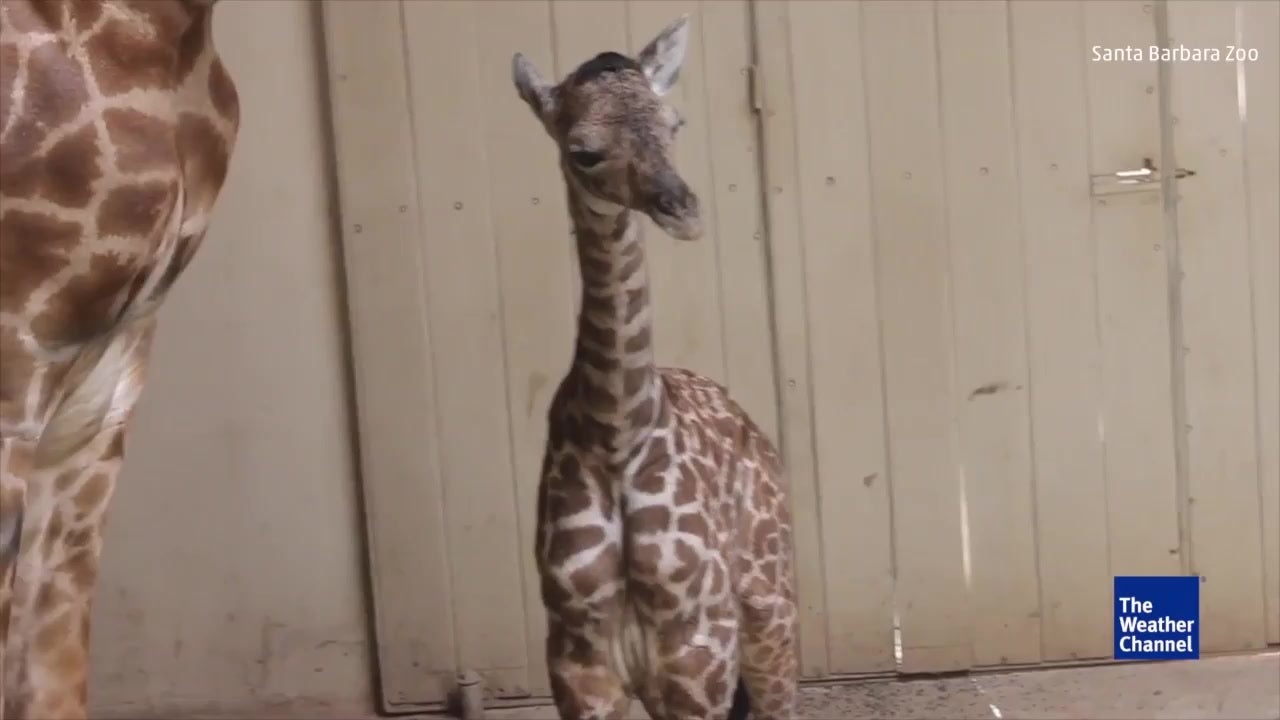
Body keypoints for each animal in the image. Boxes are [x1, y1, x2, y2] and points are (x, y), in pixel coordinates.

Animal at [512, 15, 799, 720]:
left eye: (675, 123)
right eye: (583, 151)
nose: (684, 210)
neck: (619, 433)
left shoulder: (699, 651)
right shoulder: (580, 661)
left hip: (770, 613)